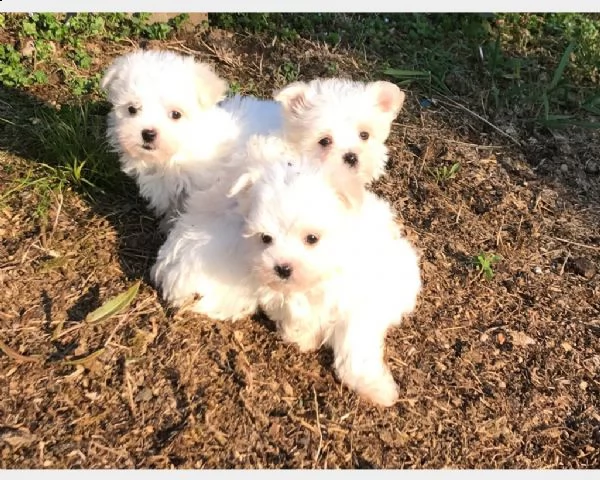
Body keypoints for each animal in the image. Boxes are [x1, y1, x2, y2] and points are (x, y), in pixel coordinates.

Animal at [152, 134, 420, 404]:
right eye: (265, 238)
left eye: (312, 238)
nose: (282, 268)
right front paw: (305, 338)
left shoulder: (361, 300)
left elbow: (354, 345)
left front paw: (374, 387)